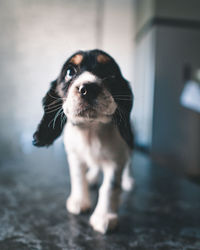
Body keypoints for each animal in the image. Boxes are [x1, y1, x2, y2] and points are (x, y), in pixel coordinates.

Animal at [32, 49, 134, 234]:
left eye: (110, 72)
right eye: (69, 72)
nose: (89, 88)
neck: (90, 130)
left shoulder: (116, 161)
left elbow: (109, 187)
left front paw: (104, 217)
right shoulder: (74, 156)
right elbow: (78, 177)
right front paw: (79, 202)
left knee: (129, 162)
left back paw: (128, 180)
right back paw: (92, 177)